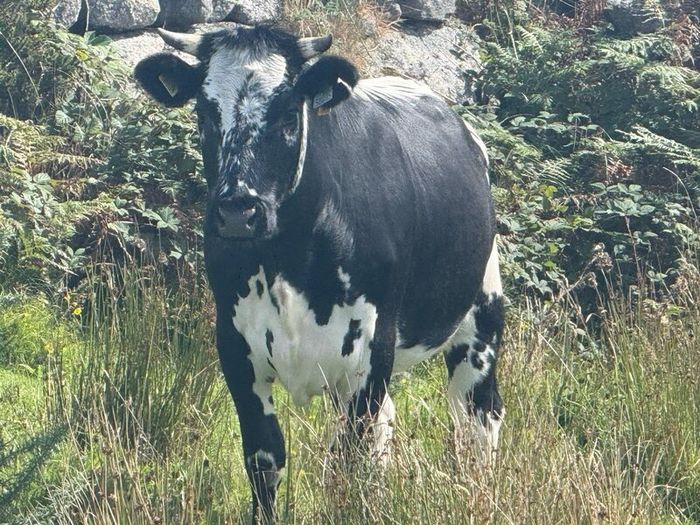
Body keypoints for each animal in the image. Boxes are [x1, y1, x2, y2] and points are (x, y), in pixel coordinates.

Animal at [135, 24, 505, 523]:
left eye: (290, 114)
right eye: (205, 114)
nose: (237, 212)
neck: (287, 258)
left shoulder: (371, 349)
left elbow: (349, 459)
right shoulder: (235, 347)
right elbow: (265, 458)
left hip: (481, 315)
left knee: (476, 417)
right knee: (388, 424)